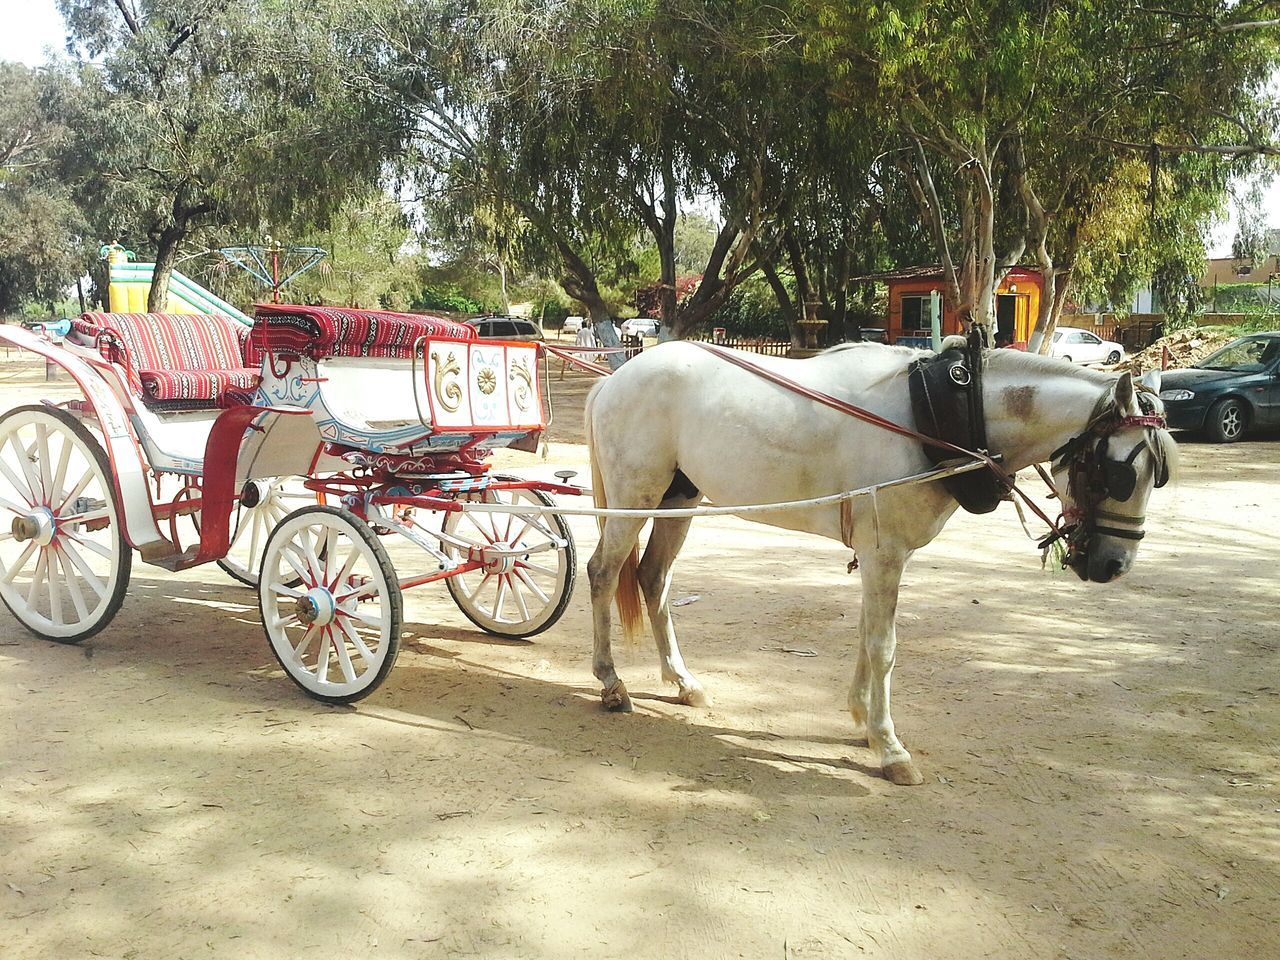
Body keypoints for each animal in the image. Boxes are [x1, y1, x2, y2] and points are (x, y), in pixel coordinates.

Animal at [586, 337, 1172, 788]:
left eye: (1156, 475)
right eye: (1118, 472)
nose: (1115, 564)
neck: (937, 418)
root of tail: (616, 379)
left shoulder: (877, 555)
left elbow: (869, 636)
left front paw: (864, 720)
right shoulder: (884, 553)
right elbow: (884, 647)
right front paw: (890, 748)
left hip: (678, 499)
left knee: (654, 579)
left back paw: (682, 681)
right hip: (633, 499)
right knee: (603, 574)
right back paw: (612, 684)